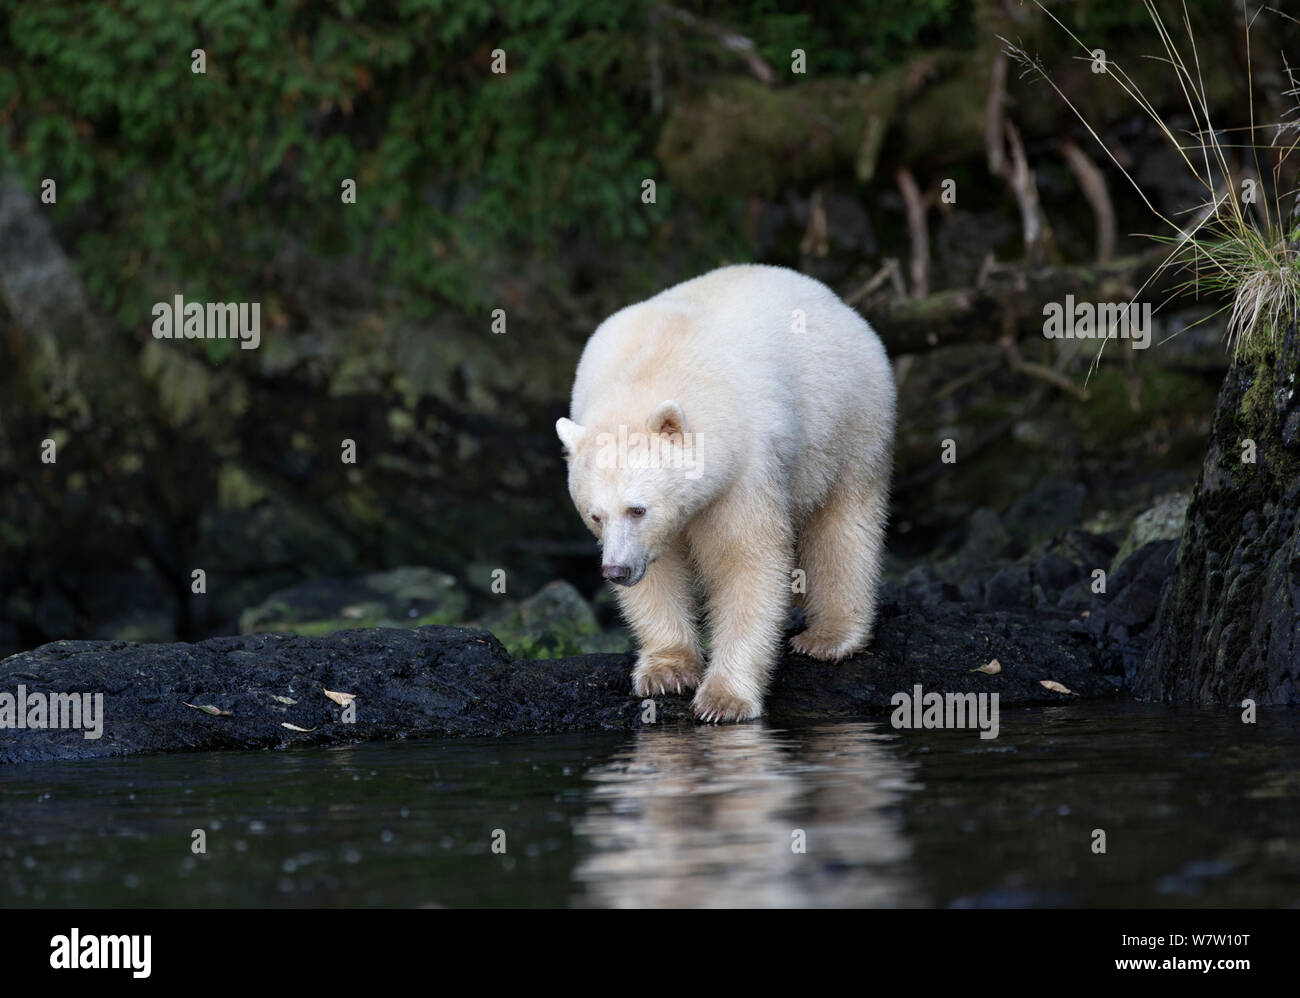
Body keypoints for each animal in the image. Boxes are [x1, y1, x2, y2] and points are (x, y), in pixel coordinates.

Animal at [553, 261, 899, 722]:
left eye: (637, 509)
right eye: (596, 516)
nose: (616, 571)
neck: (650, 371)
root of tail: (838, 302)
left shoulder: (743, 467)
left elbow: (747, 559)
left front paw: (724, 699)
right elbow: (660, 571)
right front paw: (666, 671)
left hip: (850, 417)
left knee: (844, 519)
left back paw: (830, 637)